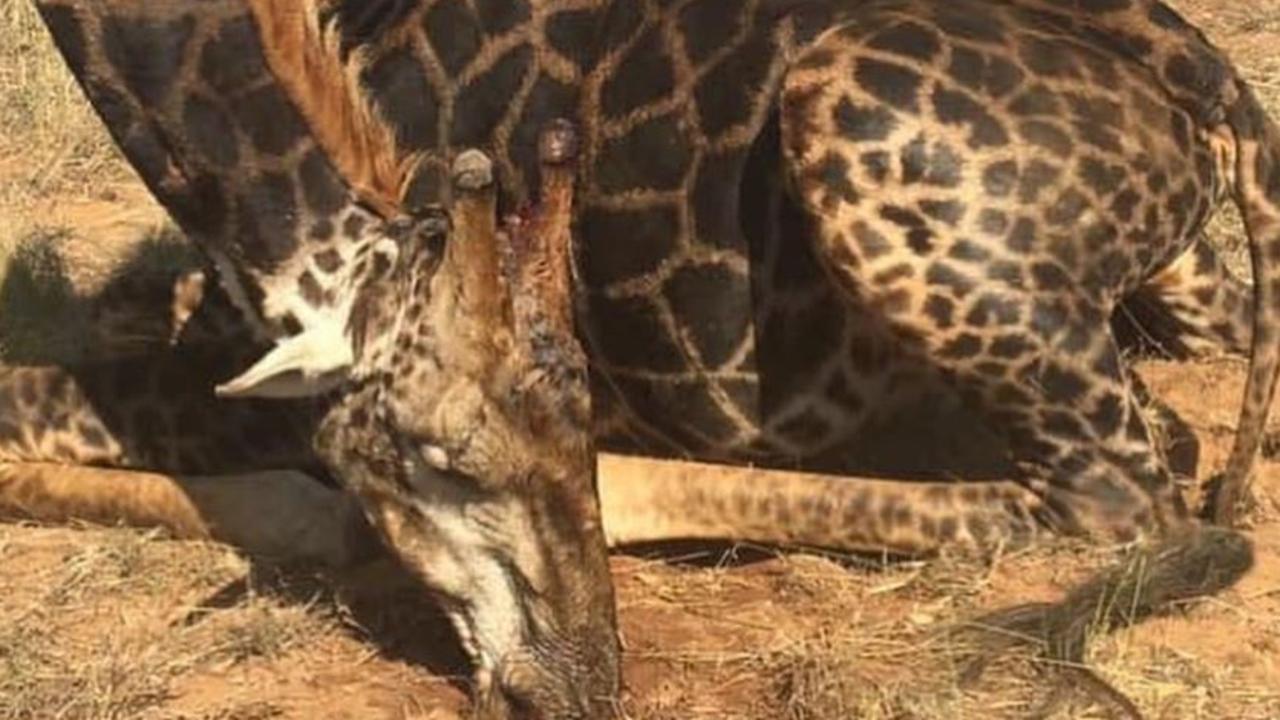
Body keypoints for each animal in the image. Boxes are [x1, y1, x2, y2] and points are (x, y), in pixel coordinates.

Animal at [7, 0, 1280, 712]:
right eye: (443, 458)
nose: (580, 684)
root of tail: (1211, 83)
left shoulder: (248, 380)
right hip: (1173, 284)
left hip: (862, 139)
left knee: (1117, 503)